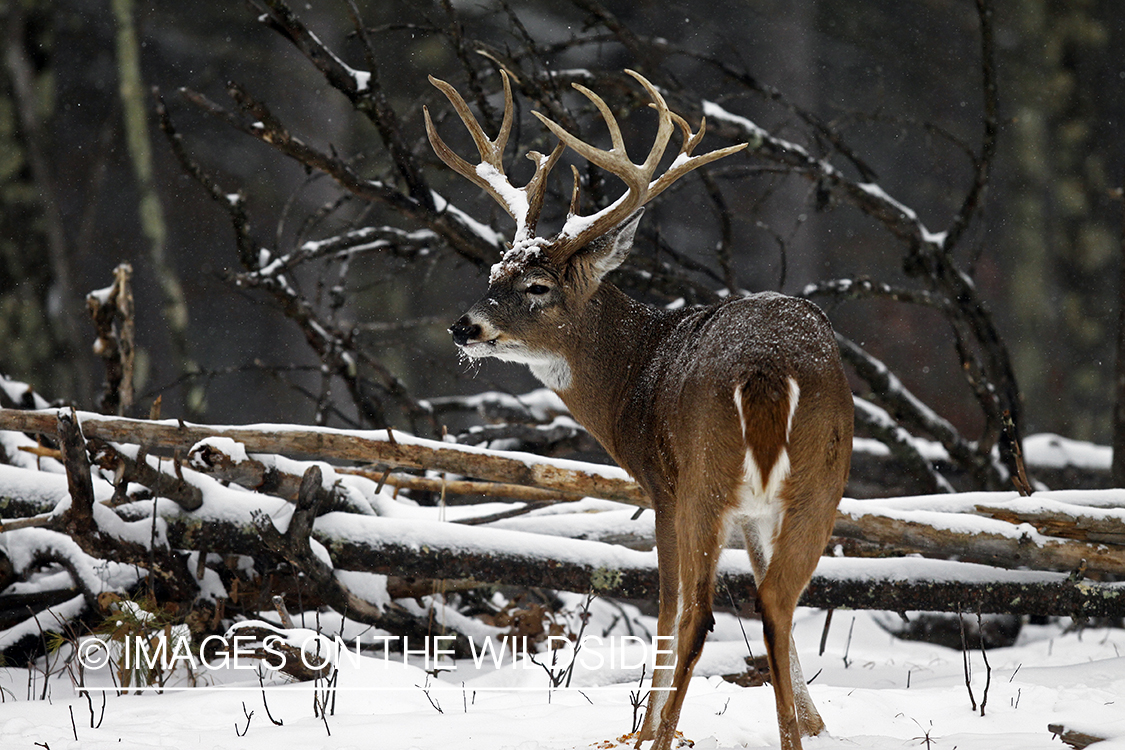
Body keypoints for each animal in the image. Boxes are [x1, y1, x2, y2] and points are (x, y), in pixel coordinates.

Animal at [423, 70, 850, 750]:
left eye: (537, 287)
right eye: (493, 272)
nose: (465, 327)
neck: (636, 374)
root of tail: (766, 367)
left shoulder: (660, 486)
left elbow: (667, 605)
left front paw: (642, 728)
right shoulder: (756, 513)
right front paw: (812, 723)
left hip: (703, 479)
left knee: (697, 611)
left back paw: (660, 734)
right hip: (819, 482)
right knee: (777, 600)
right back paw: (789, 734)